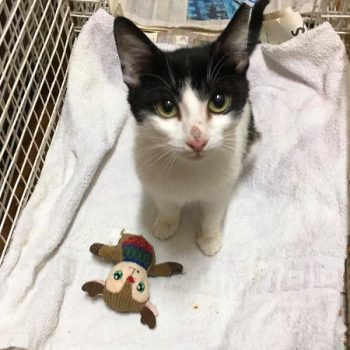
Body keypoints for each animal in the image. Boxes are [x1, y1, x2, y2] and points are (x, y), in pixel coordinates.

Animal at [113, 1, 270, 256]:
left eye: (219, 102)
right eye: (166, 107)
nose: (197, 139)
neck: (188, 171)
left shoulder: (221, 187)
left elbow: (213, 211)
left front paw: (209, 237)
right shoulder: (152, 177)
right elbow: (165, 202)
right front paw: (166, 222)